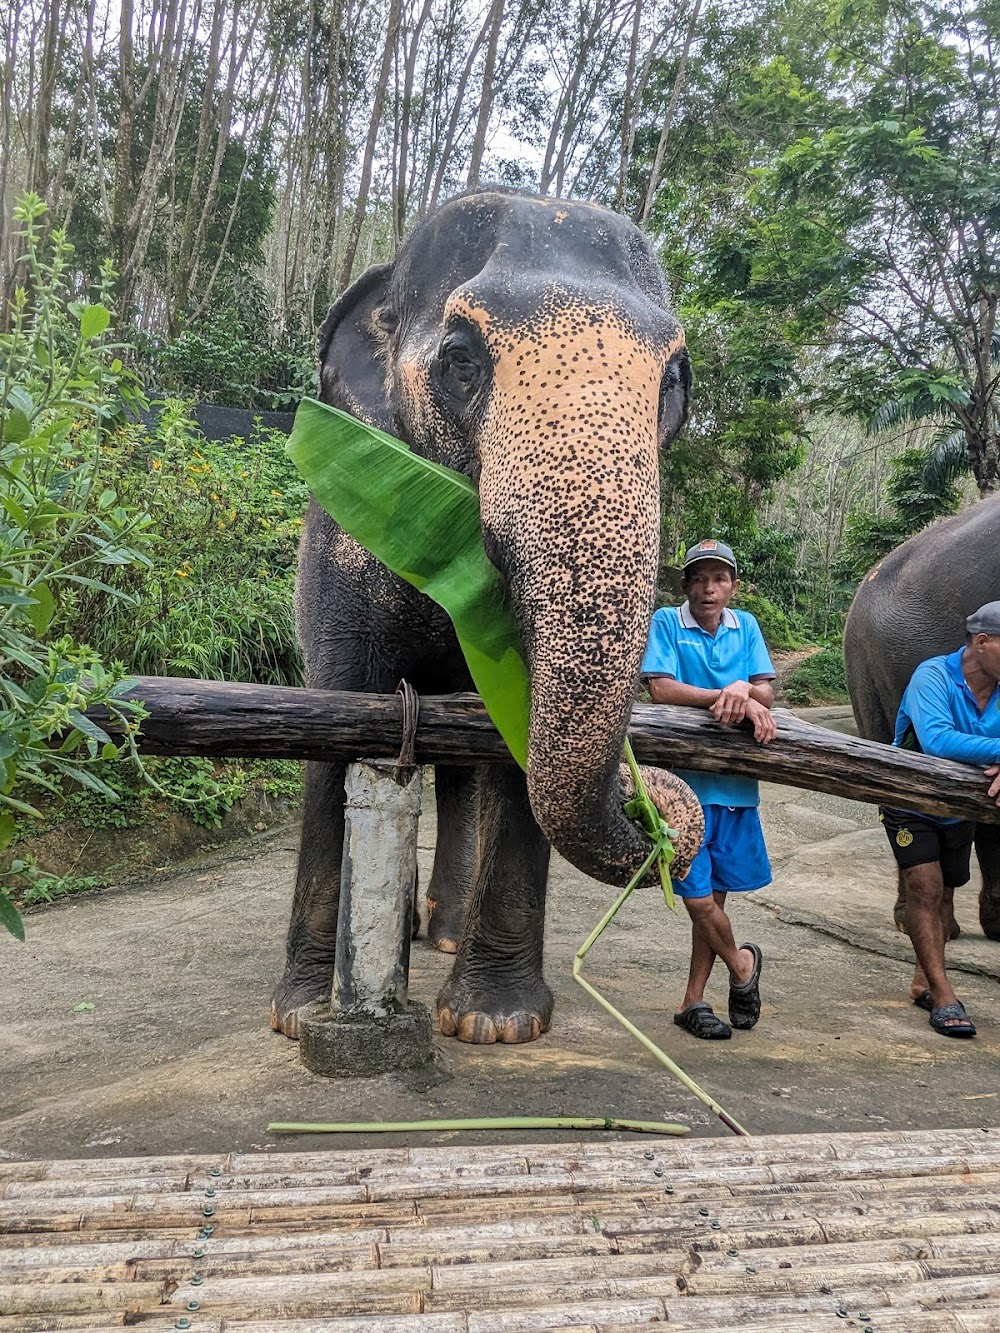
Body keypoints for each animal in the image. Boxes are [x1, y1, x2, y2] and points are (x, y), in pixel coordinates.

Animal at [268, 187, 704, 1039]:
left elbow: (513, 747)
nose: (654, 811)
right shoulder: (351, 528)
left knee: (463, 768)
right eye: (462, 360)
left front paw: (495, 1023)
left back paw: (441, 931)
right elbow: (339, 714)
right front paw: (298, 1012)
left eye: (676, 379)